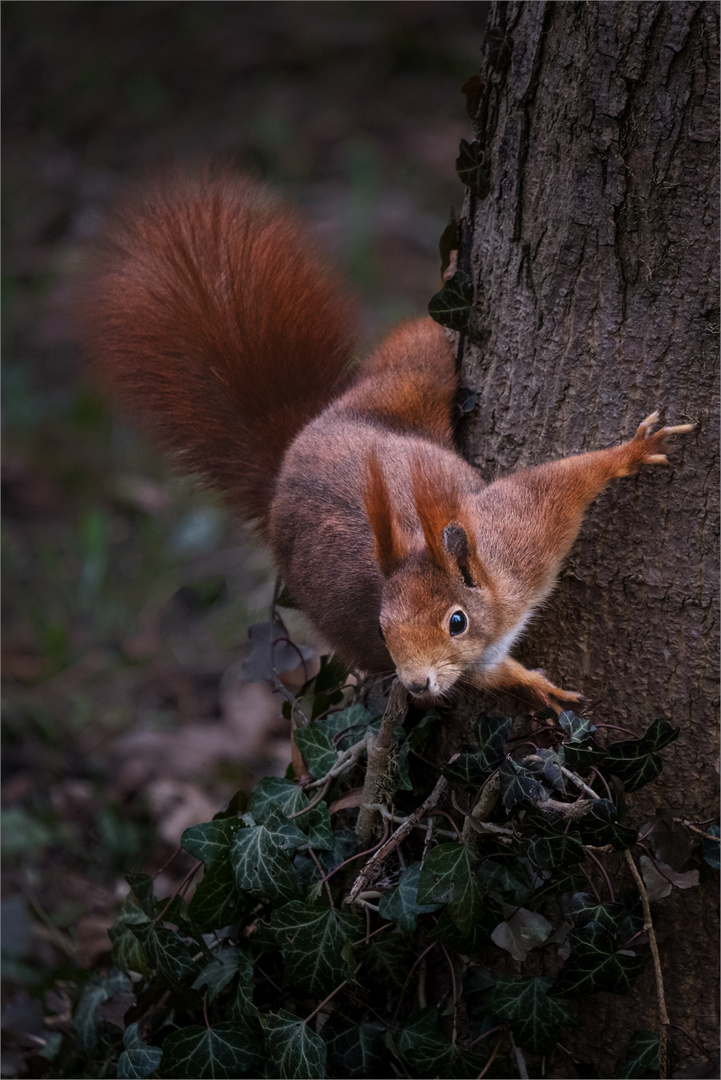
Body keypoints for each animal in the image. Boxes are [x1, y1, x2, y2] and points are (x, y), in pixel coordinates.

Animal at [81, 168, 695, 708]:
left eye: (456, 621)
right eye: (382, 628)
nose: (417, 686)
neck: (493, 590)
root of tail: (295, 450)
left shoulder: (525, 534)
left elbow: (567, 481)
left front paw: (630, 452)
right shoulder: (481, 636)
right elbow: (492, 673)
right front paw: (534, 688)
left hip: (408, 381)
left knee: (422, 338)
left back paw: (450, 271)